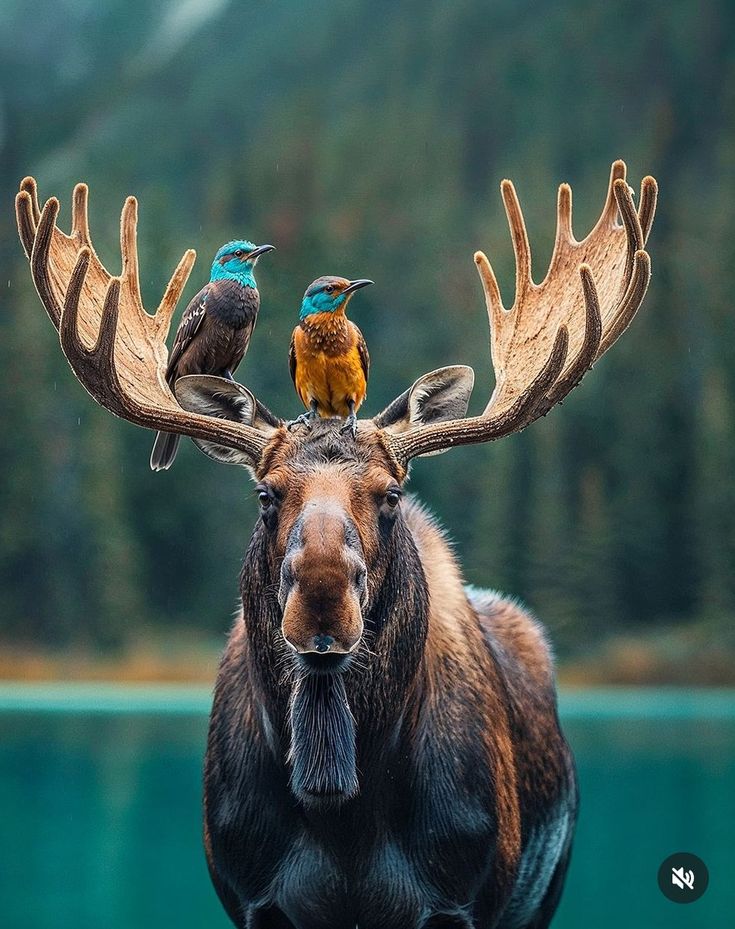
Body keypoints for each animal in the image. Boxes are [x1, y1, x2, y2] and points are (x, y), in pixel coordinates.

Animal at [17, 161, 660, 928]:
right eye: (265, 496)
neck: (340, 811)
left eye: (391, 496)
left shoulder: (461, 902)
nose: (322, 596)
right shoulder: (256, 900)